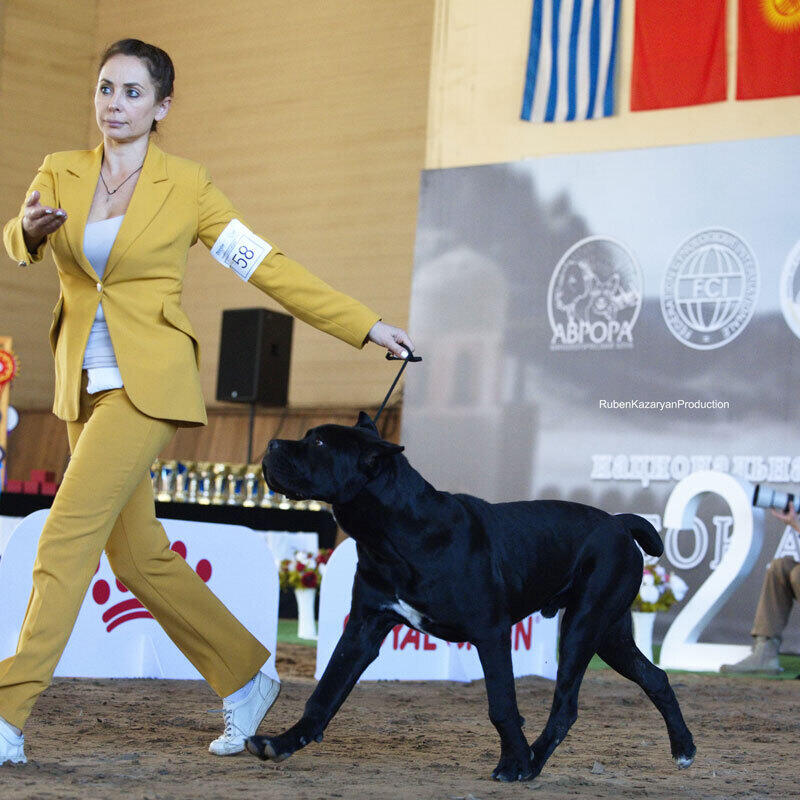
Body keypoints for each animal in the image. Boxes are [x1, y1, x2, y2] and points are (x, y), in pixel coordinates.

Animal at [248, 412, 692, 780]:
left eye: (321, 443)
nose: (271, 444)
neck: (394, 532)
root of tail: (618, 522)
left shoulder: (490, 632)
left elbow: (502, 704)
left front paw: (513, 763)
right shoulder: (362, 629)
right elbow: (325, 693)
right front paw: (282, 742)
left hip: (584, 626)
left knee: (566, 704)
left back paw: (533, 761)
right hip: (609, 634)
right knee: (654, 677)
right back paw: (683, 748)